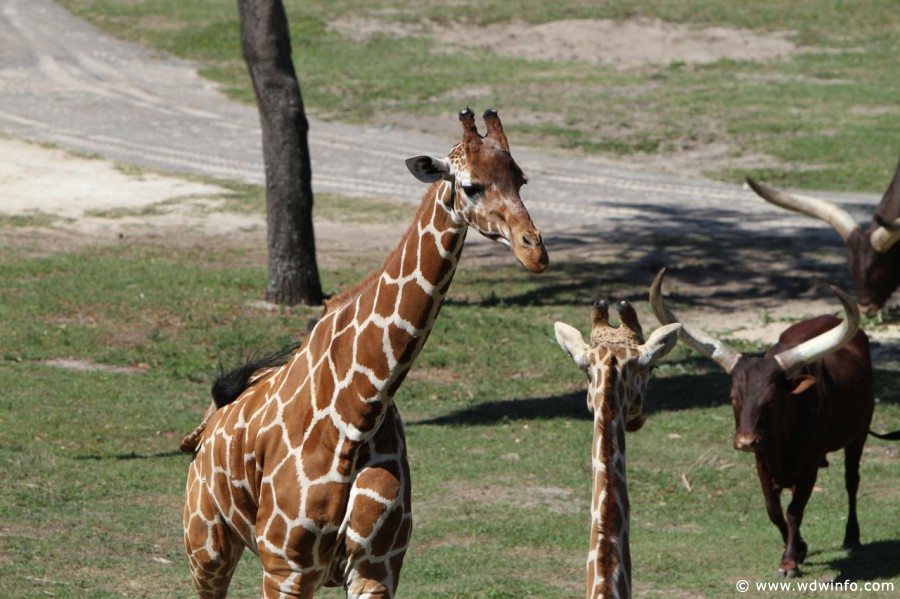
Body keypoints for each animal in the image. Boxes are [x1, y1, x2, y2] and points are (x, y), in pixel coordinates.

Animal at [181, 109, 548, 599]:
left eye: (520, 180)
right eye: (471, 186)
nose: (535, 252)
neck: (360, 411)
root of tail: (209, 419)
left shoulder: (377, 567)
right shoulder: (285, 568)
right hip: (206, 543)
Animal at [652, 270, 876, 580]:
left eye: (771, 399)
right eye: (733, 397)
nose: (745, 441)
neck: (783, 436)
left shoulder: (809, 464)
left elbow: (794, 510)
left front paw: (789, 562)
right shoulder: (762, 462)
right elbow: (774, 510)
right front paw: (798, 548)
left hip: (859, 433)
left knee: (851, 481)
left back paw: (852, 536)